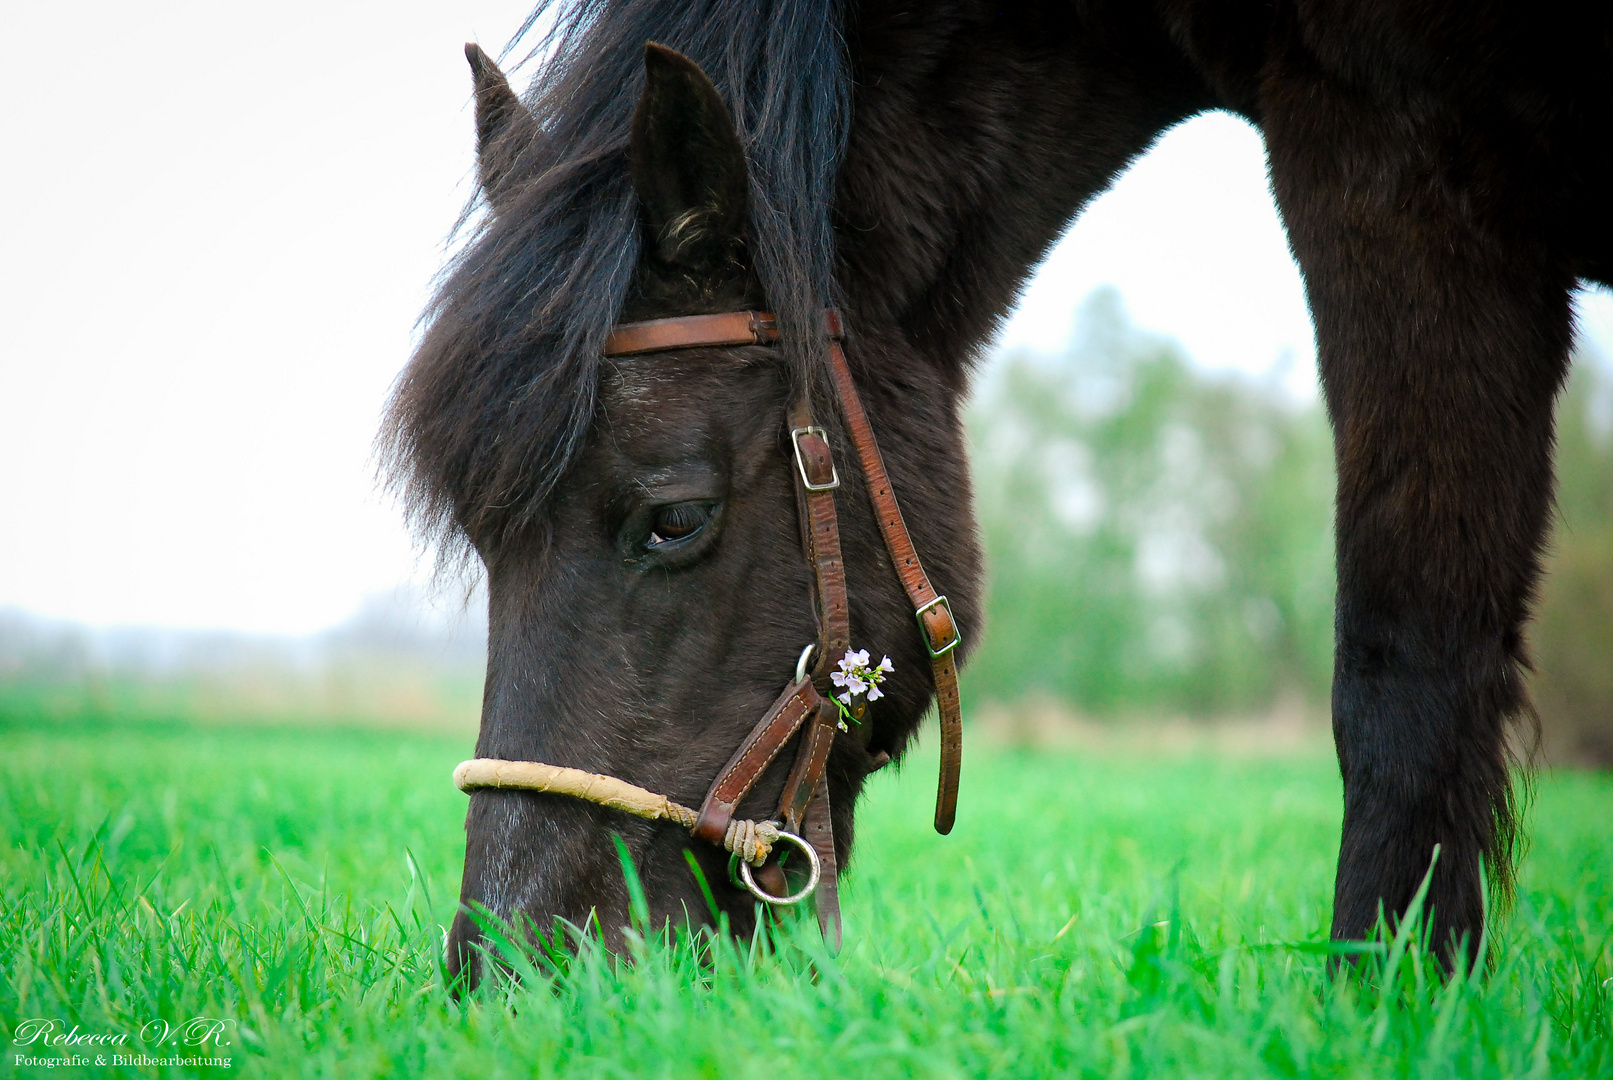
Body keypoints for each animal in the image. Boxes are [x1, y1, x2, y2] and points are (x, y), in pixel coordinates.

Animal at [387, 0, 1613, 992]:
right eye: (483, 541)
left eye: (673, 518)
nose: (509, 968)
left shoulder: (1398, 172)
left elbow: (1403, 665)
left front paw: (1386, 993)